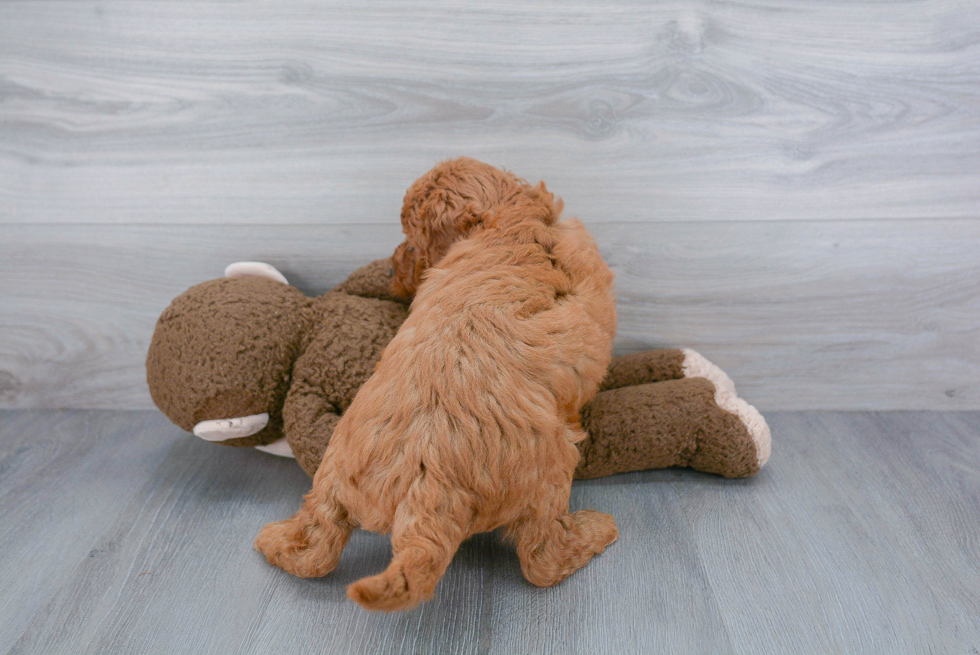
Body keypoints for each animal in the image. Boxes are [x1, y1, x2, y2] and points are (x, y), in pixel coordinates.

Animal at [256, 161, 616, 612]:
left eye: (412, 239)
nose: (391, 270)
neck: (509, 218)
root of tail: (426, 481)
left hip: (333, 470)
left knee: (315, 543)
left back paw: (273, 542)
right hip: (550, 473)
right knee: (542, 560)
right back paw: (595, 533)